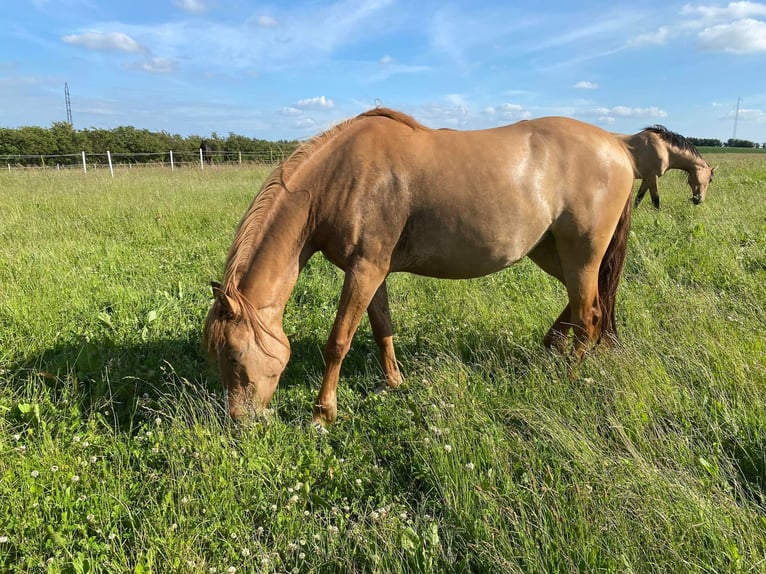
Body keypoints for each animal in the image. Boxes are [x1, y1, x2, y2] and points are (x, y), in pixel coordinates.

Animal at [204, 108, 637, 425]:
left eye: (234, 355)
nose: (238, 421)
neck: (342, 178)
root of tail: (617, 146)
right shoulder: (372, 271)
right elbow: (382, 328)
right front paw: (393, 384)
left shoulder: (364, 270)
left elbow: (338, 342)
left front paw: (322, 415)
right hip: (550, 251)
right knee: (589, 305)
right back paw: (552, 345)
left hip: (581, 255)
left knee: (587, 315)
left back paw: (569, 377)